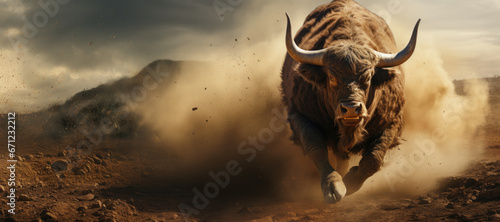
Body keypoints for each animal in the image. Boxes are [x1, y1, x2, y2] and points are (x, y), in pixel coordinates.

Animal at [282, 0, 418, 204]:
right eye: (332, 78)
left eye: (368, 78)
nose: (351, 109)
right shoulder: (299, 116)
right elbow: (317, 148)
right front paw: (333, 186)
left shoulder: (393, 122)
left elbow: (374, 158)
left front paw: (351, 181)